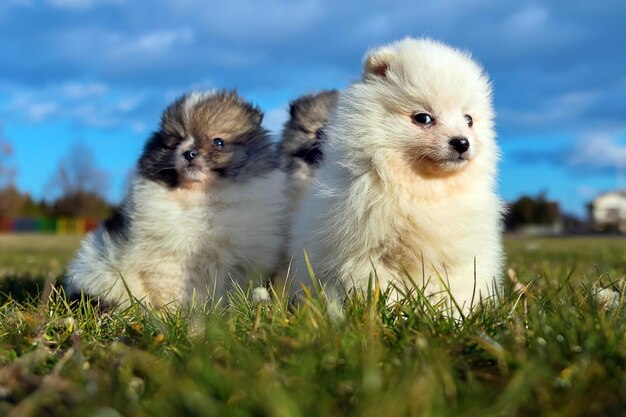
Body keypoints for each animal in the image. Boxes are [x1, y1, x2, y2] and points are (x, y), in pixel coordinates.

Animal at [66, 89, 286, 308]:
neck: (202, 199)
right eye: (176, 141)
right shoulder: (169, 260)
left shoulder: (239, 261)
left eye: (218, 142)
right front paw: (174, 314)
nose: (189, 153)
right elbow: (172, 290)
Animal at [288, 39, 502, 314]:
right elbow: (381, 288)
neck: (421, 189)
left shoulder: (455, 258)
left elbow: (451, 291)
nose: (462, 142)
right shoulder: (367, 255)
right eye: (423, 118)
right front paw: (394, 314)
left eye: (469, 120)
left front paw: (449, 316)